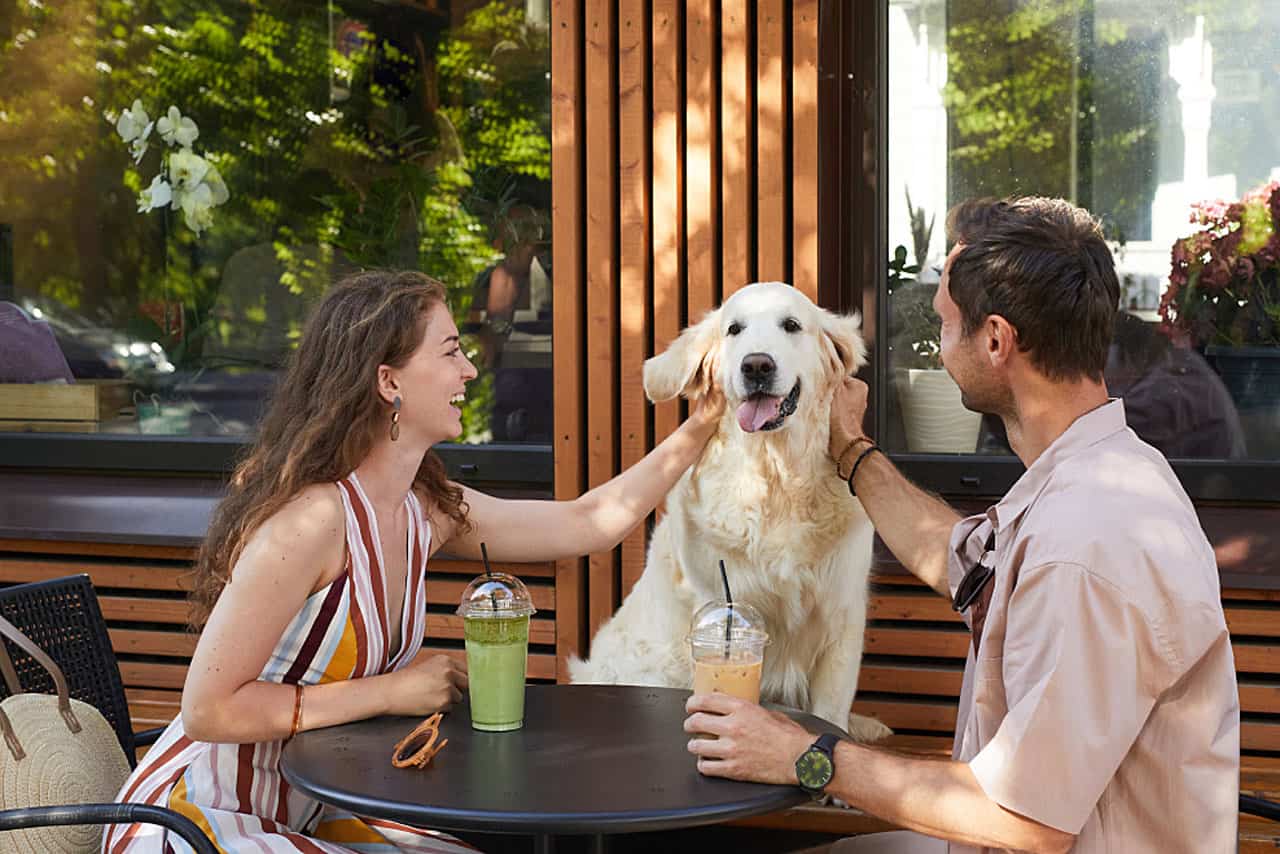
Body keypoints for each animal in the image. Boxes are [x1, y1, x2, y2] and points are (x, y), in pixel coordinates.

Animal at [570, 280, 890, 742]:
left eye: (791, 325)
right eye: (734, 329)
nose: (756, 365)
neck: (776, 479)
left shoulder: (842, 616)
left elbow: (831, 711)